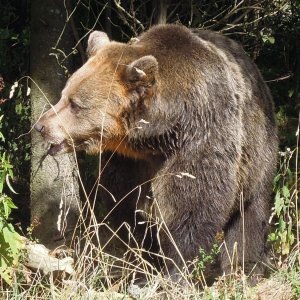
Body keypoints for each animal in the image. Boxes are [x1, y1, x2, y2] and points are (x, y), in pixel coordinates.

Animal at [34, 24, 278, 282]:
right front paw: (146, 261)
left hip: (257, 148)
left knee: (249, 212)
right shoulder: (126, 160)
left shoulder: (200, 138)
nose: (41, 126)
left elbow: (192, 204)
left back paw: (243, 269)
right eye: (63, 95)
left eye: (75, 104)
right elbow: (126, 205)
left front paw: (175, 268)